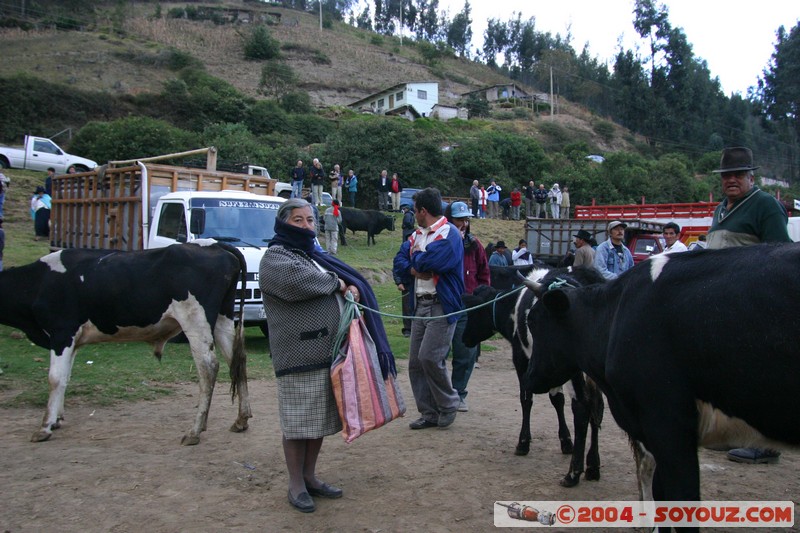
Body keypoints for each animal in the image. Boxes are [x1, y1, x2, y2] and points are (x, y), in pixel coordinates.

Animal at [0, 241, 252, 444]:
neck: (39, 281)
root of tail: (214, 245)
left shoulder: (62, 332)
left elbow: (54, 378)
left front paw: (45, 427)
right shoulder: (72, 340)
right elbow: (65, 378)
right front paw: (57, 419)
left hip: (196, 319)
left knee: (208, 368)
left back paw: (195, 431)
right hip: (222, 319)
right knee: (237, 362)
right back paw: (241, 420)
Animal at [460, 264, 604, 484]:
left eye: (474, 314)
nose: (463, 339)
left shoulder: (522, 359)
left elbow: (526, 399)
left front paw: (523, 442)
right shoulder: (549, 369)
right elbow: (557, 400)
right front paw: (566, 441)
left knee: (582, 407)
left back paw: (573, 473)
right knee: (597, 406)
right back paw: (593, 465)